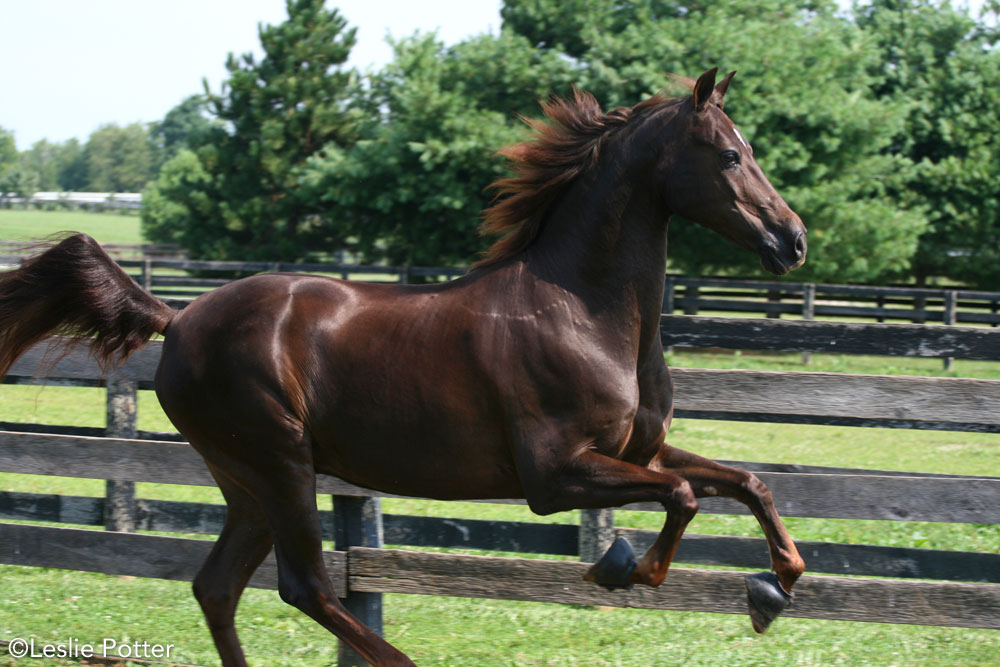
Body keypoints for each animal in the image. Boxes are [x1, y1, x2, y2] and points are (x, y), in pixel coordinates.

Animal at [0, 70, 804, 664]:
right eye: (729, 155)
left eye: (750, 148)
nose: (791, 240)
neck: (583, 311)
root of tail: (179, 317)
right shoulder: (554, 475)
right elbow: (684, 496)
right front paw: (624, 565)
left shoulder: (636, 450)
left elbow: (745, 481)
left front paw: (776, 587)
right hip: (279, 462)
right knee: (305, 587)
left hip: (247, 482)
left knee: (217, 587)